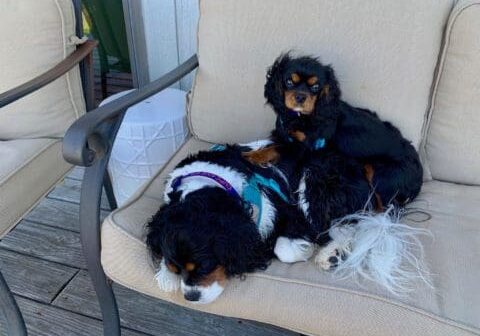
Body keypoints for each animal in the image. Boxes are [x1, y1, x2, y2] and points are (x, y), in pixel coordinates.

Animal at [146, 140, 316, 304]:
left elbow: (284, 250)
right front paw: (166, 275)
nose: (190, 297)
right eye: (175, 270)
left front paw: (306, 251)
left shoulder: (289, 214)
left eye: (205, 266)